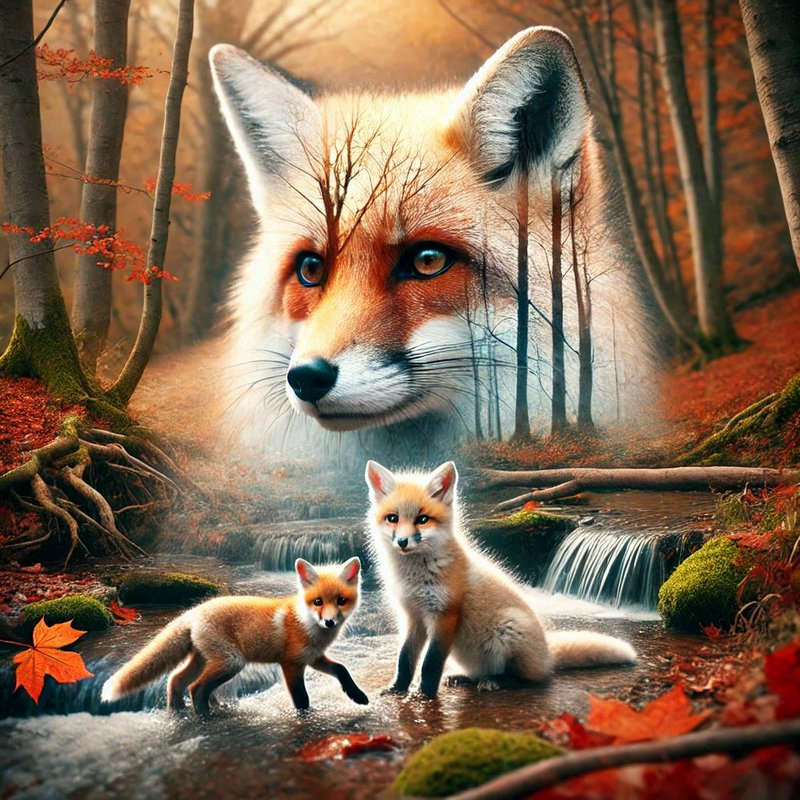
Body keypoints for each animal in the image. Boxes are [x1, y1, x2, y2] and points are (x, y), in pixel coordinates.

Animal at [100, 557, 368, 713]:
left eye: (341, 601)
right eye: (318, 602)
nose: (329, 622)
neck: (304, 623)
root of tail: (192, 612)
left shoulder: (313, 658)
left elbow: (342, 669)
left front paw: (357, 695)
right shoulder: (291, 664)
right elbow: (302, 700)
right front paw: (306, 719)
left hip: (204, 660)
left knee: (175, 681)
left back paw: (178, 713)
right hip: (231, 662)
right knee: (196, 688)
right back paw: (205, 719)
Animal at [365, 460, 636, 698]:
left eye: (423, 519)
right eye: (393, 518)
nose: (402, 542)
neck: (416, 577)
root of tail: (547, 654)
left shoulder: (444, 614)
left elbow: (430, 664)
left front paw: (425, 696)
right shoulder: (413, 616)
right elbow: (405, 660)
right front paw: (397, 689)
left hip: (508, 629)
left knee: (529, 678)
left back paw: (497, 681)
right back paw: (466, 677)